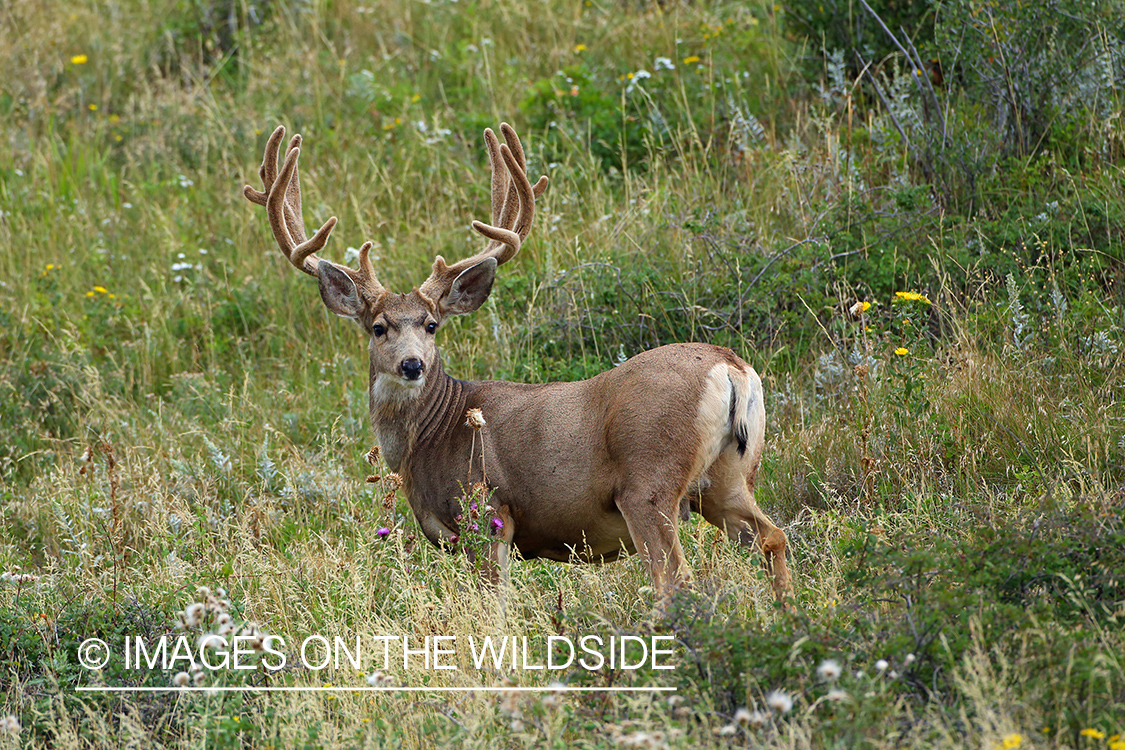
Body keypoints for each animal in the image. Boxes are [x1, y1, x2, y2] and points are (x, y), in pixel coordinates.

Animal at [244, 123, 792, 605]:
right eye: (379, 327)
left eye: (431, 325)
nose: (413, 365)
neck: (431, 436)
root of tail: (731, 367)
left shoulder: (488, 512)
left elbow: (495, 604)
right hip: (729, 476)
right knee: (773, 536)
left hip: (649, 482)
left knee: (675, 578)